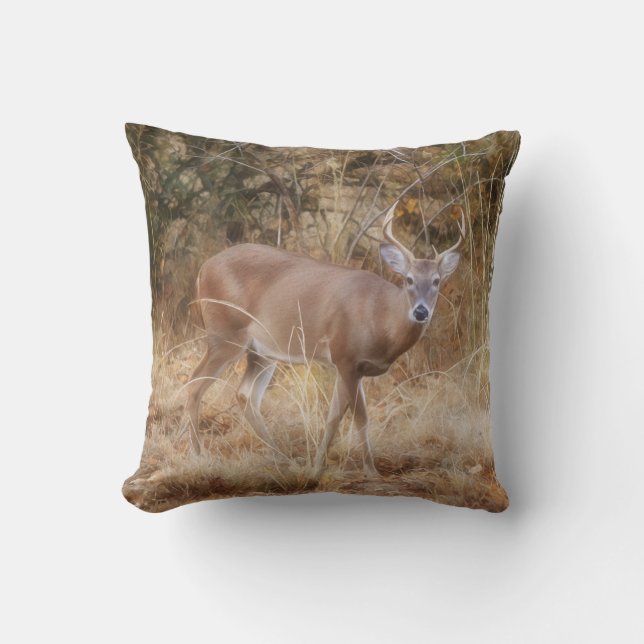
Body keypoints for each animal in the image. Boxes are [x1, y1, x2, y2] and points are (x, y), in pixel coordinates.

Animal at [182, 201, 466, 476]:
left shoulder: (351, 367)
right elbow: (359, 417)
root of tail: (202, 270)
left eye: (437, 281)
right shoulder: (346, 357)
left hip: (262, 351)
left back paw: (283, 458)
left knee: (245, 395)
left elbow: (334, 416)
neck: (380, 316)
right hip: (225, 335)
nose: (421, 312)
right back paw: (199, 454)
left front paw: (317, 465)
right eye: (408, 279)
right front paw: (371, 471)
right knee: (195, 383)